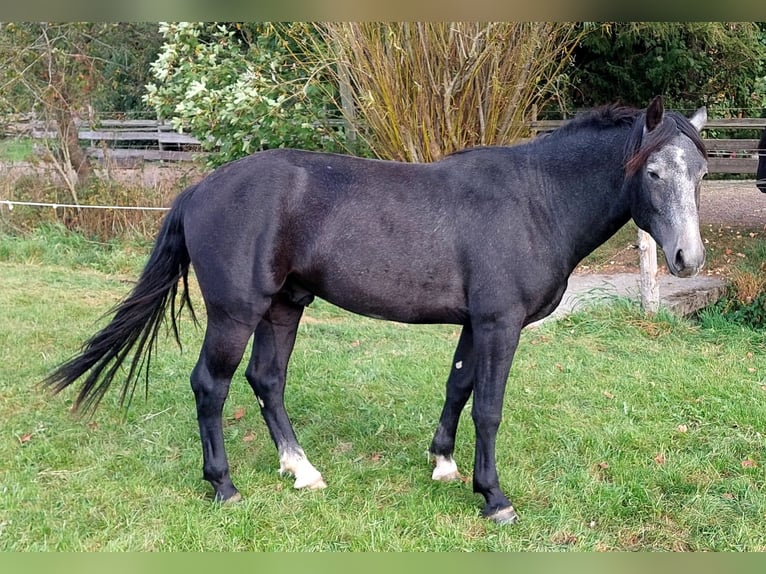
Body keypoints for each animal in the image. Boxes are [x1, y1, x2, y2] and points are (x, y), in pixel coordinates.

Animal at [43, 95, 708, 528]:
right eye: (652, 171)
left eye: (700, 173)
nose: (687, 258)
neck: (535, 199)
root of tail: (199, 189)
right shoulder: (500, 324)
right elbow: (488, 408)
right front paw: (493, 497)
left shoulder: (475, 323)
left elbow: (458, 387)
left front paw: (442, 463)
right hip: (236, 313)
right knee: (212, 385)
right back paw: (225, 487)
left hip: (284, 307)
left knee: (267, 381)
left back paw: (302, 471)